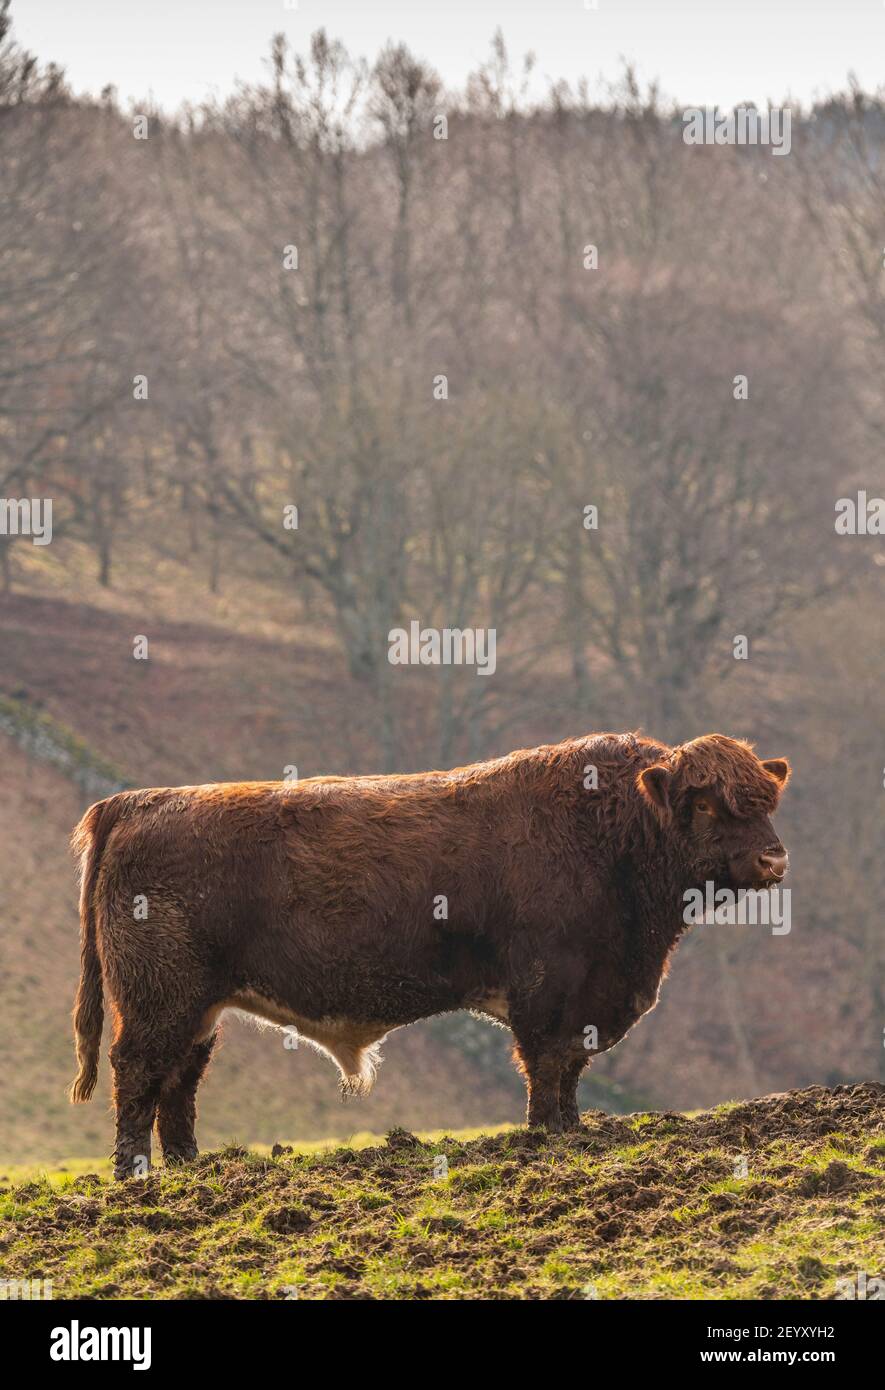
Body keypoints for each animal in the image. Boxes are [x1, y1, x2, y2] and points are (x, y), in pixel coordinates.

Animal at [69, 731, 790, 1177]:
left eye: (767, 801)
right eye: (706, 803)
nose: (773, 858)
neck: (611, 830)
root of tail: (136, 801)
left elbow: (571, 1068)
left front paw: (572, 1129)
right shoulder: (548, 987)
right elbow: (547, 1064)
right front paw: (546, 1136)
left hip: (199, 1008)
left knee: (178, 1082)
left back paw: (190, 1167)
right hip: (159, 1001)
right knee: (138, 1073)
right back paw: (135, 1177)